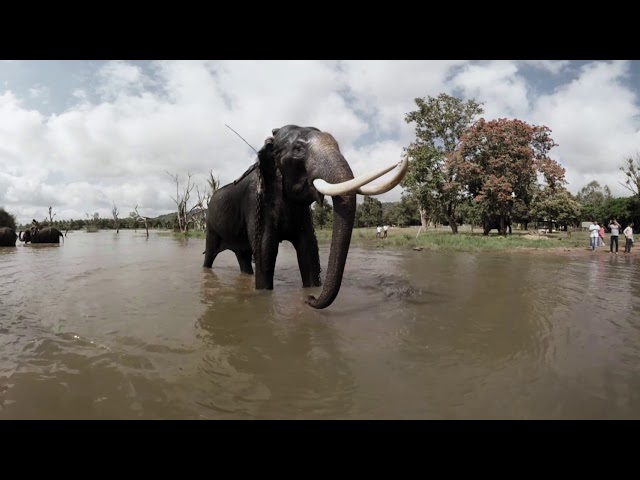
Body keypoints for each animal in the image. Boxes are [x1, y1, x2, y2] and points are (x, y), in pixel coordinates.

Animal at [202, 124, 408, 310]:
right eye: (298, 149)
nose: (310, 299)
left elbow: (308, 249)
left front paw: (310, 290)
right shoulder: (255, 201)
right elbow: (265, 249)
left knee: (243, 256)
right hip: (210, 225)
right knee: (211, 254)